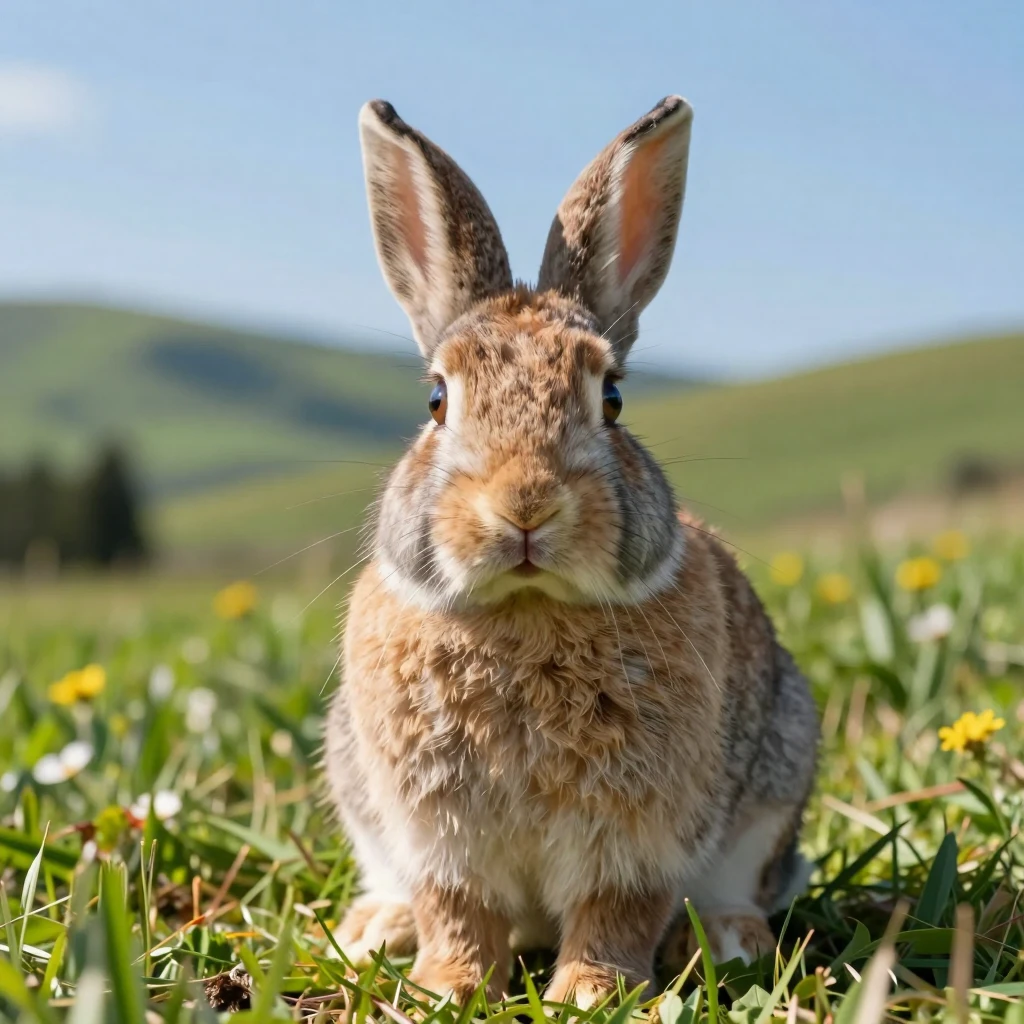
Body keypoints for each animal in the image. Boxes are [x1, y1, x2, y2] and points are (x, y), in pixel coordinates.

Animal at [324, 94, 819, 1009]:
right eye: (437, 400)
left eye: (612, 397)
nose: (525, 505)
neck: (527, 610)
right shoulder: (438, 835)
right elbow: (457, 911)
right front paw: (446, 989)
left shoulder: (636, 836)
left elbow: (614, 910)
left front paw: (590, 992)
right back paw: (380, 928)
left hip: (778, 771)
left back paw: (733, 940)